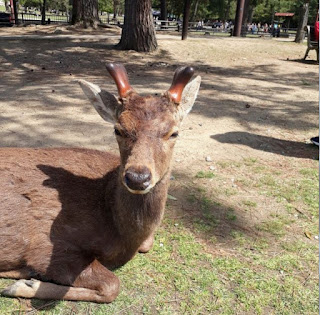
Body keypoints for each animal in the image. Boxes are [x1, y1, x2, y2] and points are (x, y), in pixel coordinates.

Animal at [0, 63, 200, 304]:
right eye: (118, 129)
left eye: (174, 132)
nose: (137, 177)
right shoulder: (45, 245)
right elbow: (112, 285)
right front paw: (24, 284)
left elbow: (146, 246)